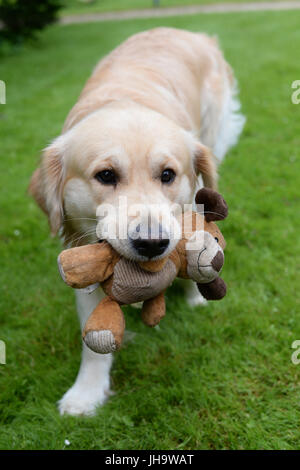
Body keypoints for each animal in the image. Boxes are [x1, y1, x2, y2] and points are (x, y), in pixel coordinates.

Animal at [29, 27, 245, 414]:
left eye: (168, 174)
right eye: (105, 175)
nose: (152, 243)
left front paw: (196, 296)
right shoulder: (83, 251)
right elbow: (93, 339)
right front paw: (87, 392)